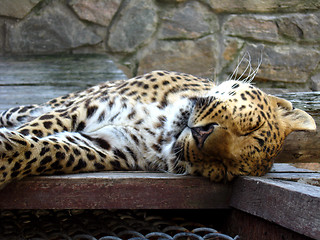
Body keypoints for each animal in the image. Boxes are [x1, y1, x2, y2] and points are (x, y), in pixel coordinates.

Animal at [0, 67, 316, 188]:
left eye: (224, 168)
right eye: (252, 125)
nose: (202, 135)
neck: (161, 125)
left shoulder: (108, 146)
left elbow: (45, 150)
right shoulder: (82, 108)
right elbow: (36, 129)